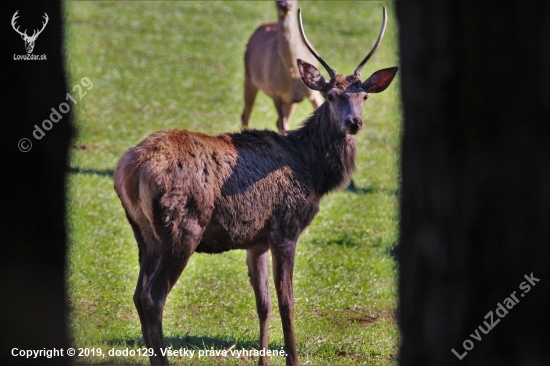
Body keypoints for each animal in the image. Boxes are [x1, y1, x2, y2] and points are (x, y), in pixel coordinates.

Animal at [242, 0, 324, 134]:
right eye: (275, 0)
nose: (285, 5)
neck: (292, 73)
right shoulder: (276, 92)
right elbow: (283, 125)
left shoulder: (312, 93)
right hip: (249, 76)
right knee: (246, 116)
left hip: (290, 100)